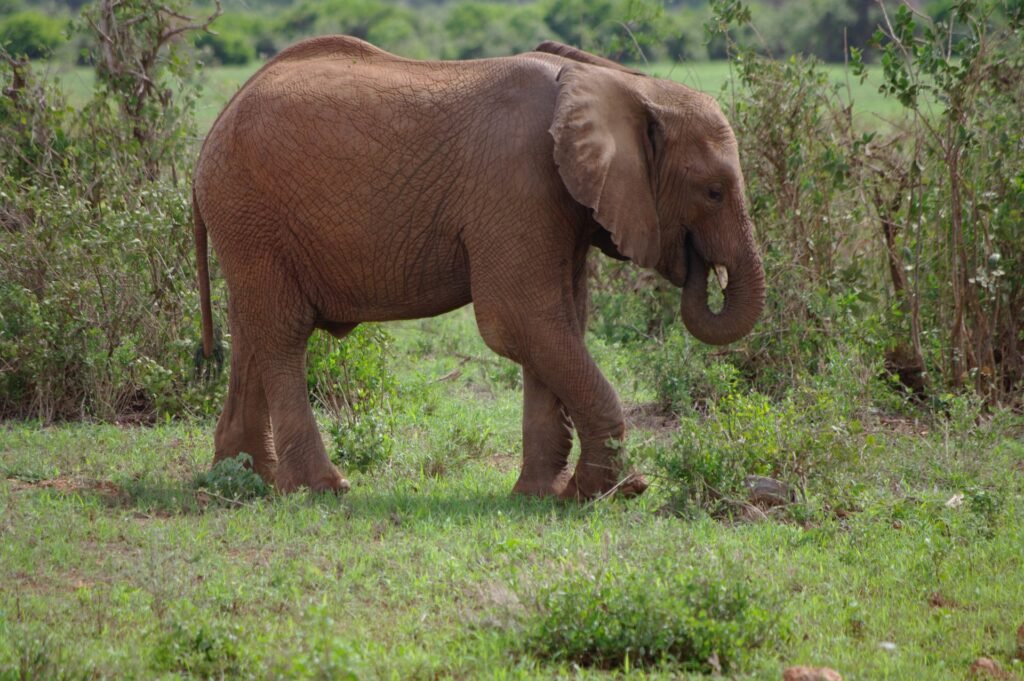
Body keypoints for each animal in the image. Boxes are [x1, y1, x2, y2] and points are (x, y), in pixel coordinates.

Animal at [193, 36, 766, 500]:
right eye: (713, 192)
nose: (700, 265)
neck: (621, 85)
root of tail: (216, 124)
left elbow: (560, 323)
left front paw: (542, 495)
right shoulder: (519, 182)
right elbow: (520, 321)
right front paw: (613, 491)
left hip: (246, 223)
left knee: (251, 329)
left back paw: (243, 481)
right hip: (250, 210)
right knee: (284, 333)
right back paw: (322, 487)